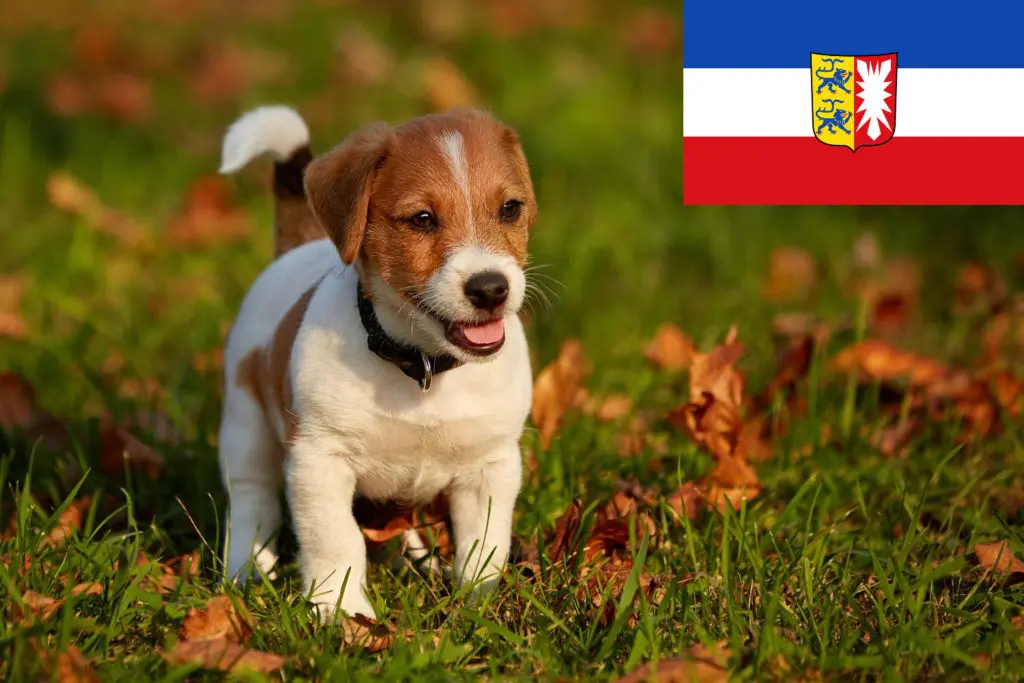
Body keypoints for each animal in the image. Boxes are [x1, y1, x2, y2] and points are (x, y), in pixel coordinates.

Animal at [216, 104, 536, 622]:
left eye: (510, 208)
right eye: (422, 219)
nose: (490, 289)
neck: (423, 367)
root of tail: (300, 247)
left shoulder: (491, 465)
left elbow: (484, 545)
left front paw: (478, 607)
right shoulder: (319, 462)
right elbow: (336, 541)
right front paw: (343, 611)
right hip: (245, 427)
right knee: (252, 500)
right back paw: (247, 573)